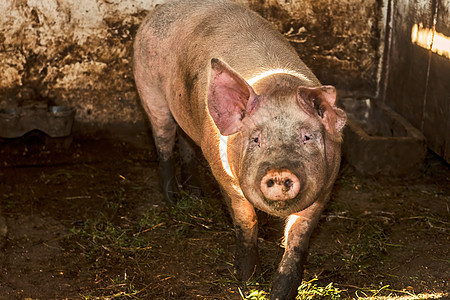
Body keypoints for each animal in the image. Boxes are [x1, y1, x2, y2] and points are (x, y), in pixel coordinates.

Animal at [132, 1, 346, 298]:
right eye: (255, 139)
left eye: (306, 137)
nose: (279, 172)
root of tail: (159, 9)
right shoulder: (225, 177)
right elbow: (246, 221)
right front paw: (247, 278)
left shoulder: (326, 187)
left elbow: (297, 238)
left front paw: (281, 291)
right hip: (149, 89)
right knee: (163, 140)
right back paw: (172, 198)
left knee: (186, 141)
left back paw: (195, 194)